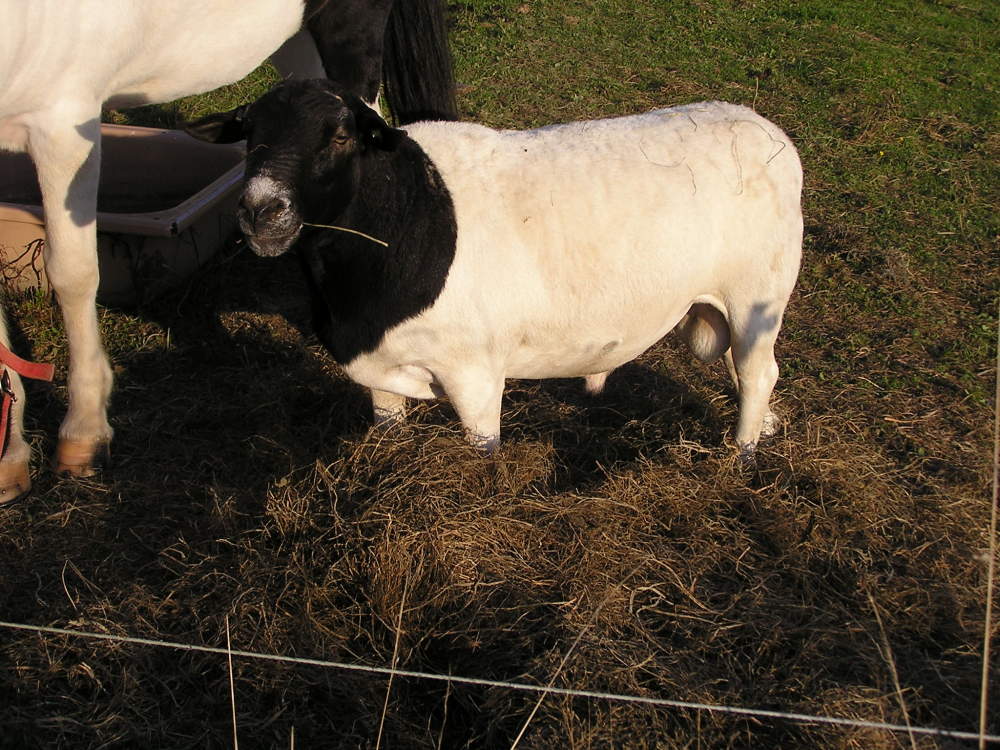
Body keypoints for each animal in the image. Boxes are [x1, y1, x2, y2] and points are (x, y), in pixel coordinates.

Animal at [188, 82, 804, 458]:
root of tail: (765, 128)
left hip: (758, 293)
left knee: (758, 373)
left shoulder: (476, 374)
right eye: (249, 135)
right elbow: (388, 429)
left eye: (340, 135)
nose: (260, 211)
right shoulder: (379, 373)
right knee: (745, 368)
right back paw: (767, 426)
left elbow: (482, 449)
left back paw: (742, 453)